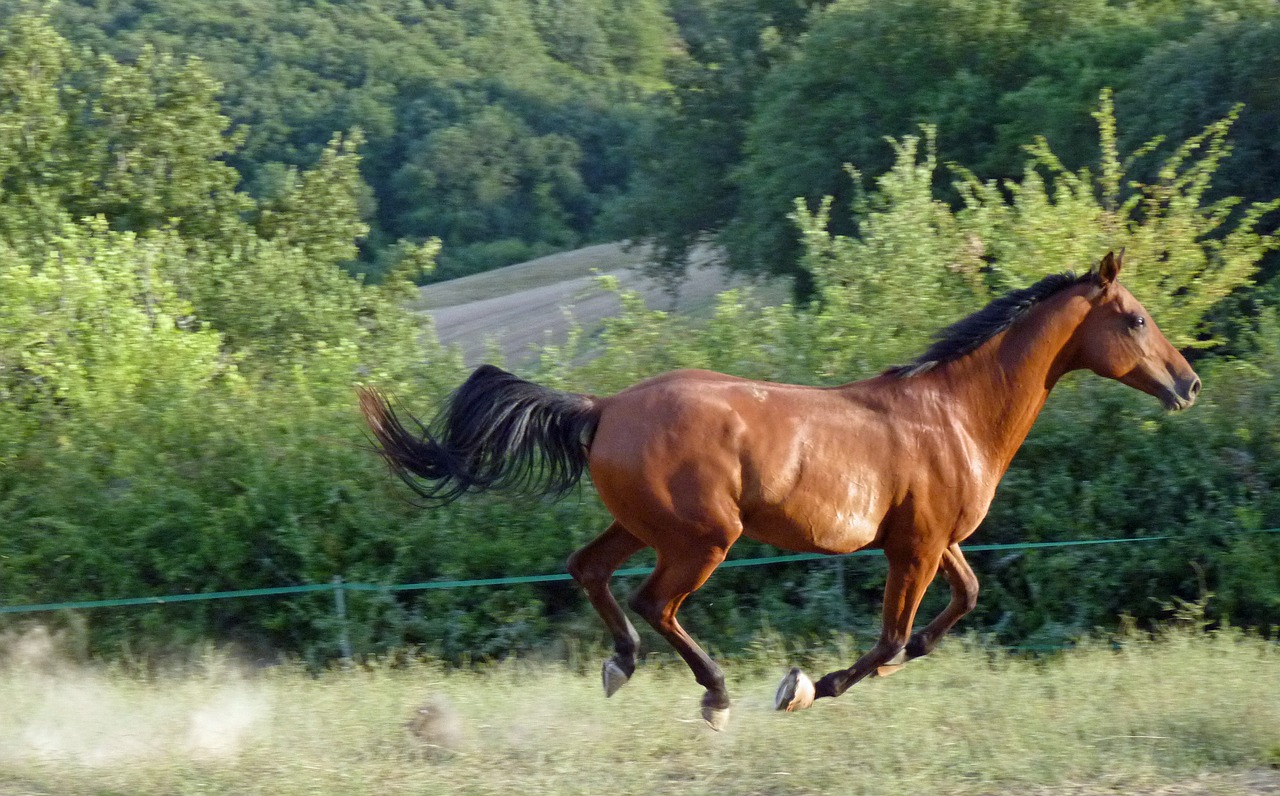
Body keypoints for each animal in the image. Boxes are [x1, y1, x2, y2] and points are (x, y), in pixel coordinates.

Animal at [363, 252, 1198, 732]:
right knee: (653, 602)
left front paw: (878, 670)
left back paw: (621, 666)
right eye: (1136, 319)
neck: (954, 414)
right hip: (703, 539)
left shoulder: (935, 542)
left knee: (589, 570)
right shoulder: (916, 547)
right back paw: (716, 697)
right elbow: (892, 635)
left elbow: (959, 605)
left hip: (642, 526)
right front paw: (805, 686)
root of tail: (603, 408)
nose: (1186, 385)